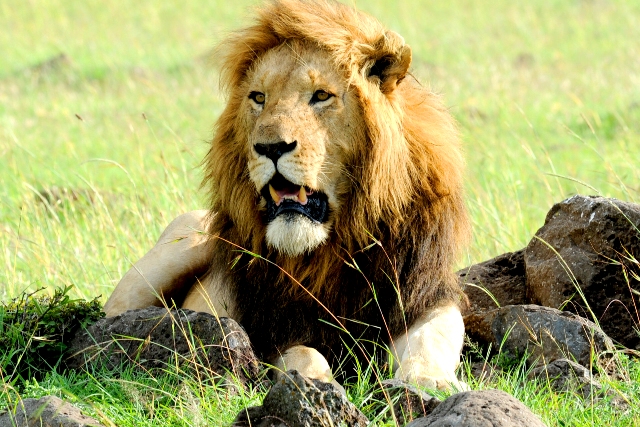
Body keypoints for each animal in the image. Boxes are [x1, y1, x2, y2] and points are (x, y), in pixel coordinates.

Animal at [104, 0, 470, 391]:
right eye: (258, 98)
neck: (331, 249)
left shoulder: (422, 294)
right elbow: (304, 354)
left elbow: (432, 338)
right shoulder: (275, 328)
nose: (270, 147)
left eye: (321, 95)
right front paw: (316, 384)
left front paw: (430, 382)